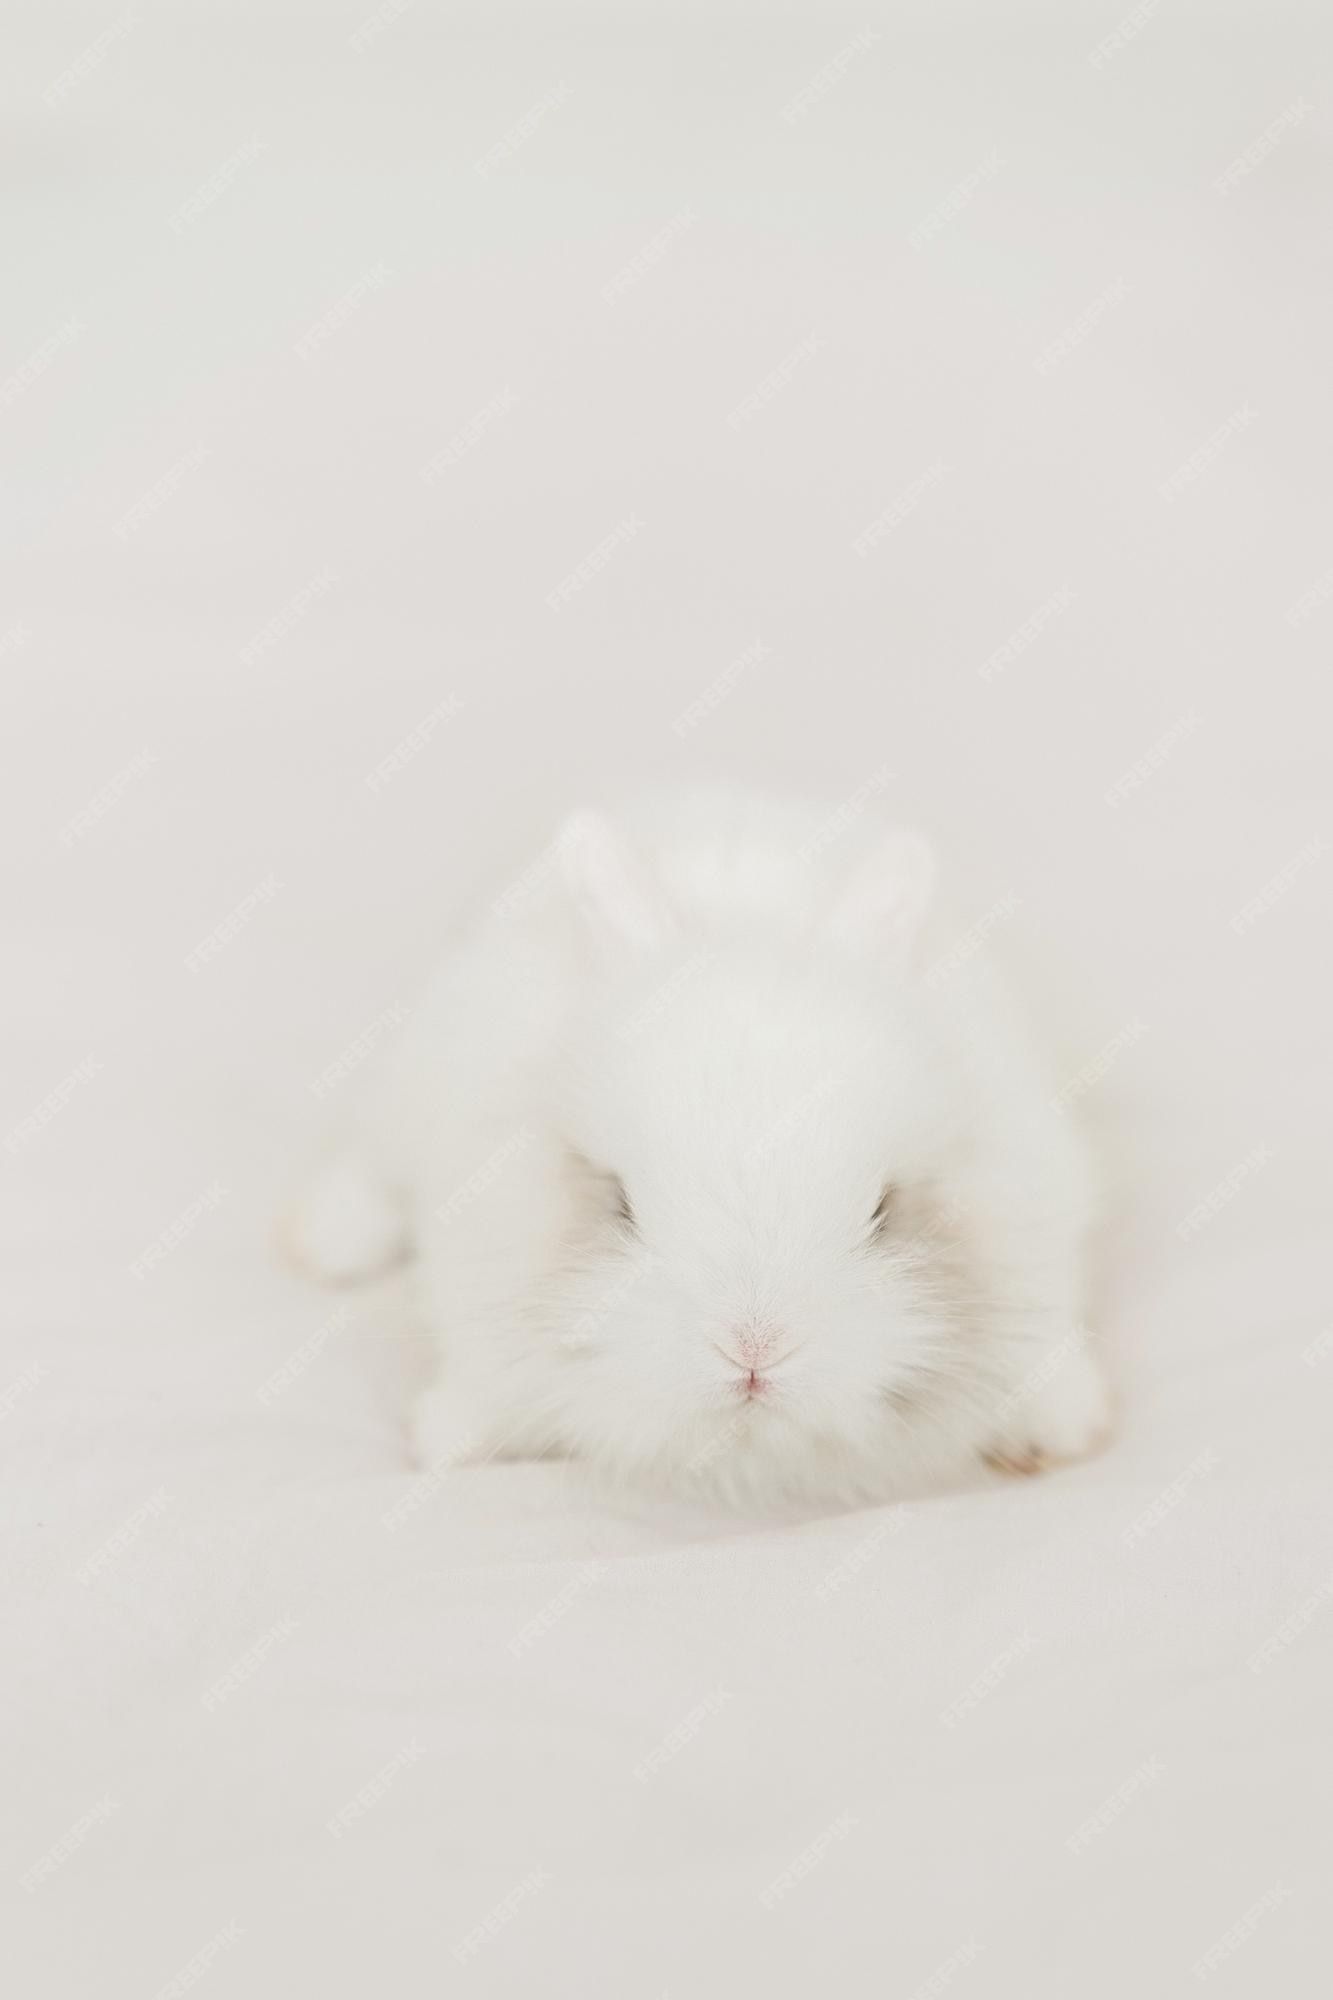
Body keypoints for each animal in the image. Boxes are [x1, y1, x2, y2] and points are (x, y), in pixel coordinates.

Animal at [285, 789, 1112, 1508]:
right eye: (620, 1204)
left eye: (884, 1209)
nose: (753, 1355)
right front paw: (445, 1437)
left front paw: (1064, 1429)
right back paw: (321, 1244)